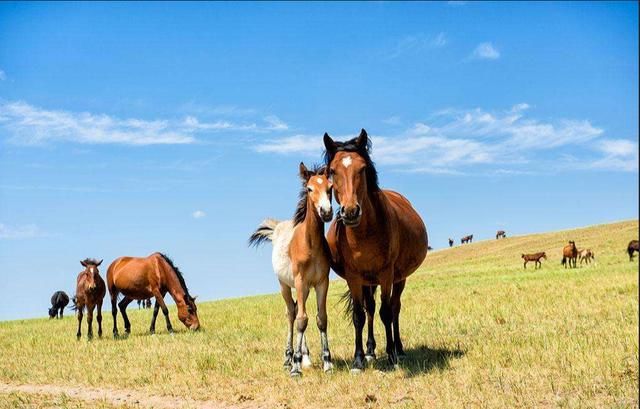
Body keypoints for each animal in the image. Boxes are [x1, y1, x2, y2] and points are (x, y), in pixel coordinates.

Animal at [249, 163, 336, 376]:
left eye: (330, 188)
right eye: (309, 189)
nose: (326, 212)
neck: (310, 244)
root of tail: (277, 229)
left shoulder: (322, 283)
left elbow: (321, 319)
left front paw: (327, 363)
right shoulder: (300, 281)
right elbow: (302, 320)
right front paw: (295, 367)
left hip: (303, 288)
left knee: (297, 311)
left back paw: (305, 357)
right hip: (285, 285)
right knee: (291, 314)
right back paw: (289, 358)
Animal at [322, 130, 428, 370]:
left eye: (362, 168)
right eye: (332, 171)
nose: (351, 211)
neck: (364, 233)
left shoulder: (386, 273)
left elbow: (386, 313)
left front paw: (391, 356)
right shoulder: (354, 277)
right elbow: (359, 315)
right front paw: (359, 359)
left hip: (399, 278)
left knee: (395, 308)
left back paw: (399, 349)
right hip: (367, 281)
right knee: (370, 308)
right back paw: (371, 350)